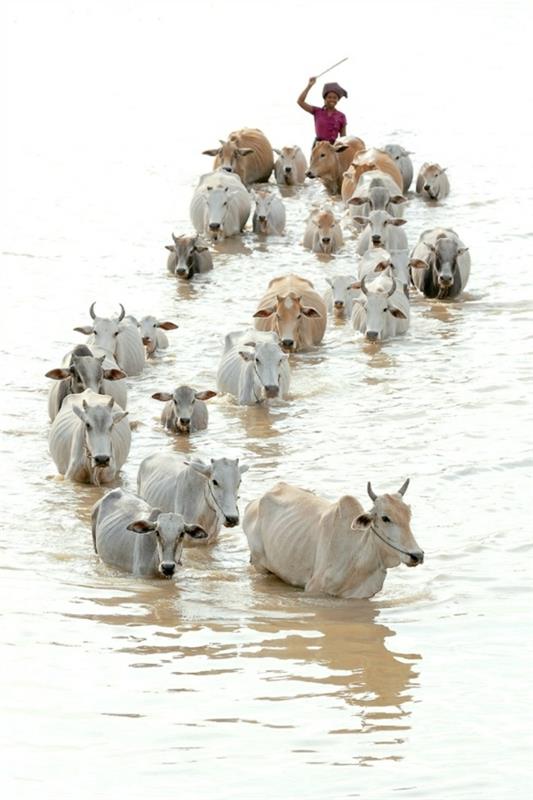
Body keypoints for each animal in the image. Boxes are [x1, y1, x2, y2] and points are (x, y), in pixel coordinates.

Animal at [242, 478, 424, 596]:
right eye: (385, 518)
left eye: (409, 515)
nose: (417, 555)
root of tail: (253, 504)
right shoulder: (314, 589)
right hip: (261, 566)